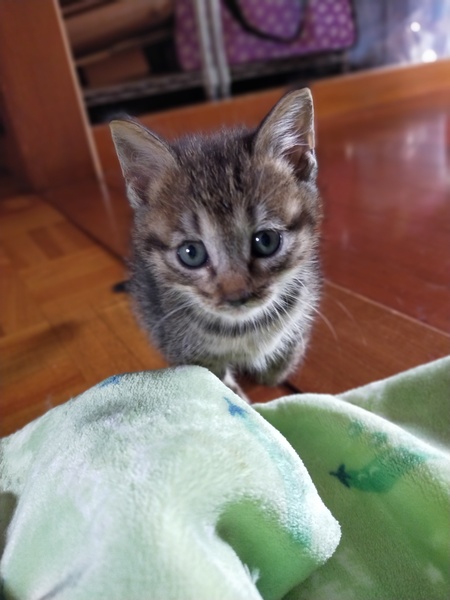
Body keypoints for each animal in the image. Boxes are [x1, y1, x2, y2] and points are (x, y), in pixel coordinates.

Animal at [110, 88, 322, 397]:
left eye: (266, 241)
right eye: (191, 253)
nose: (237, 297)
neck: (244, 328)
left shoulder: (305, 298)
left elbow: (293, 340)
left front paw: (276, 370)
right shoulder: (183, 348)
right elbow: (213, 383)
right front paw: (239, 398)